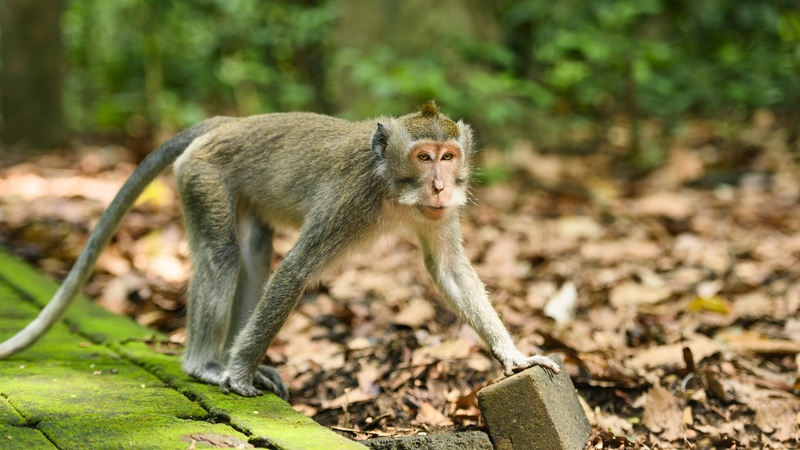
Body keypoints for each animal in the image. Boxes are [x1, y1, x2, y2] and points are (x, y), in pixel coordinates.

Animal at [0, 101, 560, 399]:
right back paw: (208, 364)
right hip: (202, 176)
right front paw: (239, 373)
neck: (390, 185)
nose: (442, 186)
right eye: (424, 158)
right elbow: (295, 272)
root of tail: (227, 122)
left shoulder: (436, 215)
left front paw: (514, 355)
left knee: (253, 252)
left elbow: (447, 269)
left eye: (449, 156)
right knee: (223, 256)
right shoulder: (349, 202)